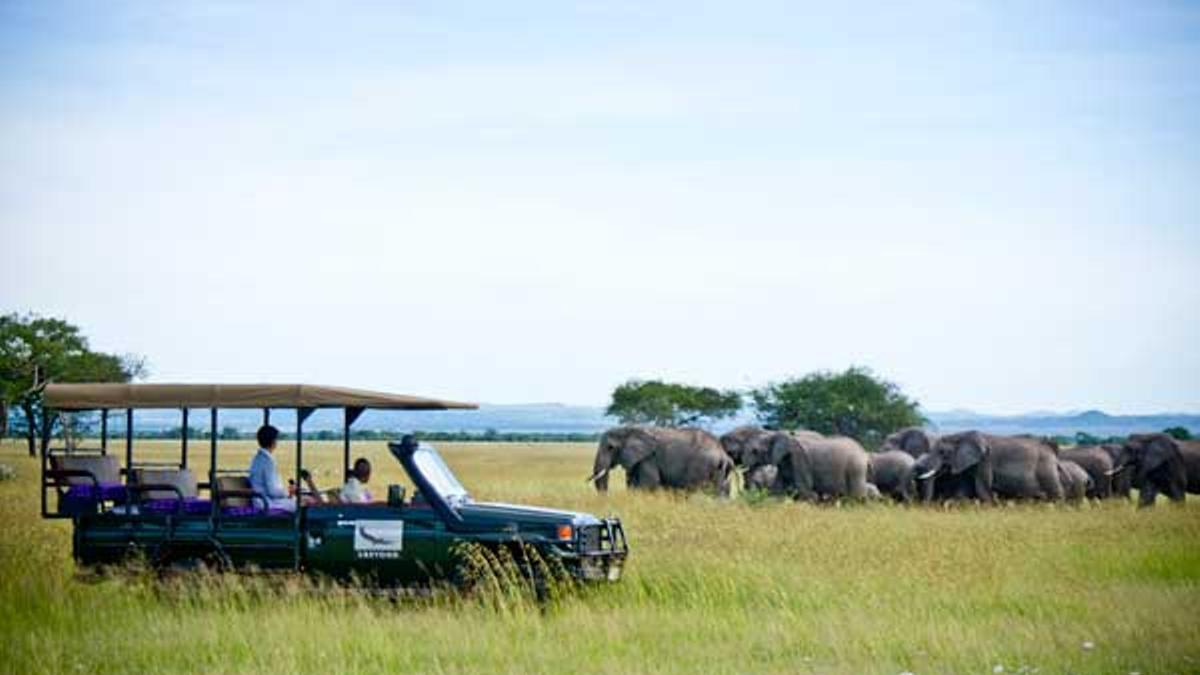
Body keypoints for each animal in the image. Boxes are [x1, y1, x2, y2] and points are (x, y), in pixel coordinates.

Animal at [588, 425, 734, 494]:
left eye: (610, 447)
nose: (606, 498)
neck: (628, 429)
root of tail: (723, 454)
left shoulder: (649, 459)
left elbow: (649, 484)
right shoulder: (637, 459)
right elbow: (631, 482)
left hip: (702, 466)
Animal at [739, 429, 873, 499]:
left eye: (755, 451)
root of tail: (864, 453)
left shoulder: (799, 459)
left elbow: (804, 487)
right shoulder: (784, 462)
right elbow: (779, 487)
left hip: (855, 468)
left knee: (856, 494)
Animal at [916, 429, 1060, 499]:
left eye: (942, 452)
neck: (960, 435)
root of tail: (1052, 451)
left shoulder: (985, 460)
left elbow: (982, 489)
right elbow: (965, 489)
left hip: (1045, 469)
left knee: (1055, 494)